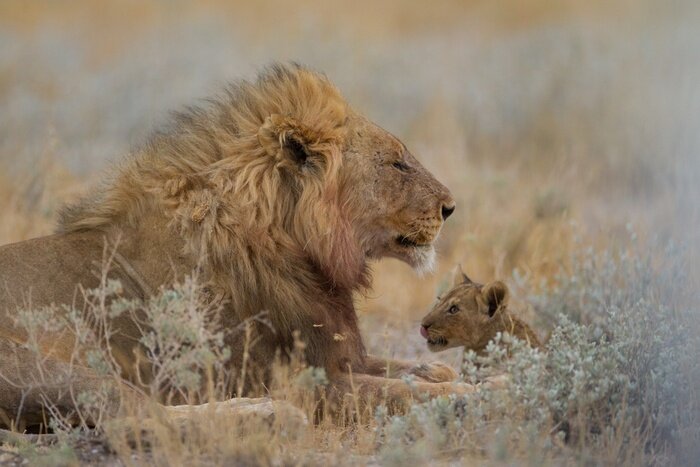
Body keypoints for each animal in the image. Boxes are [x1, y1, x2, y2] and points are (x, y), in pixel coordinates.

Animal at [0, 63, 469, 428]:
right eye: (396, 163)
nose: (450, 207)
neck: (291, 245)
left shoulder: (334, 354)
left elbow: (405, 369)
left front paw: (440, 370)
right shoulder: (300, 378)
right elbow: (400, 393)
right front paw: (476, 391)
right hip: (50, 367)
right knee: (138, 416)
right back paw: (270, 412)